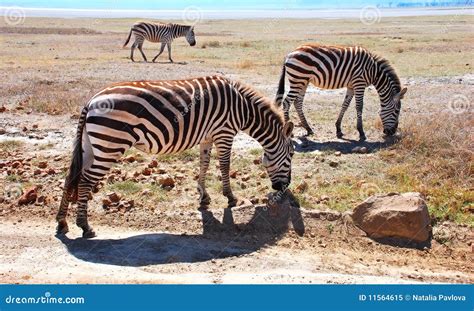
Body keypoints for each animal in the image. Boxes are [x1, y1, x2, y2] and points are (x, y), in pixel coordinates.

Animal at [54, 75, 292, 239]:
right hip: (109, 144)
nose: (284, 188)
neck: (242, 108)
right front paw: (230, 197)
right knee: (85, 180)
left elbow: (204, 164)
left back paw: (62, 223)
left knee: (70, 177)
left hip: (90, 144)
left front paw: (203, 197)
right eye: (291, 156)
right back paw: (85, 226)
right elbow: (224, 165)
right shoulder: (224, 132)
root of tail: (91, 101)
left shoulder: (208, 136)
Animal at [274, 44, 408, 141]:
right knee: (286, 102)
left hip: (303, 81)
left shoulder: (351, 86)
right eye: (396, 112)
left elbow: (345, 105)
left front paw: (338, 129)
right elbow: (359, 106)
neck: (373, 71)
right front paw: (361, 132)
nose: (392, 133)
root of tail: (289, 54)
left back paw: (308, 129)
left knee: (297, 102)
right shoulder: (359, 83)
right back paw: (290, 132)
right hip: (298, 79)